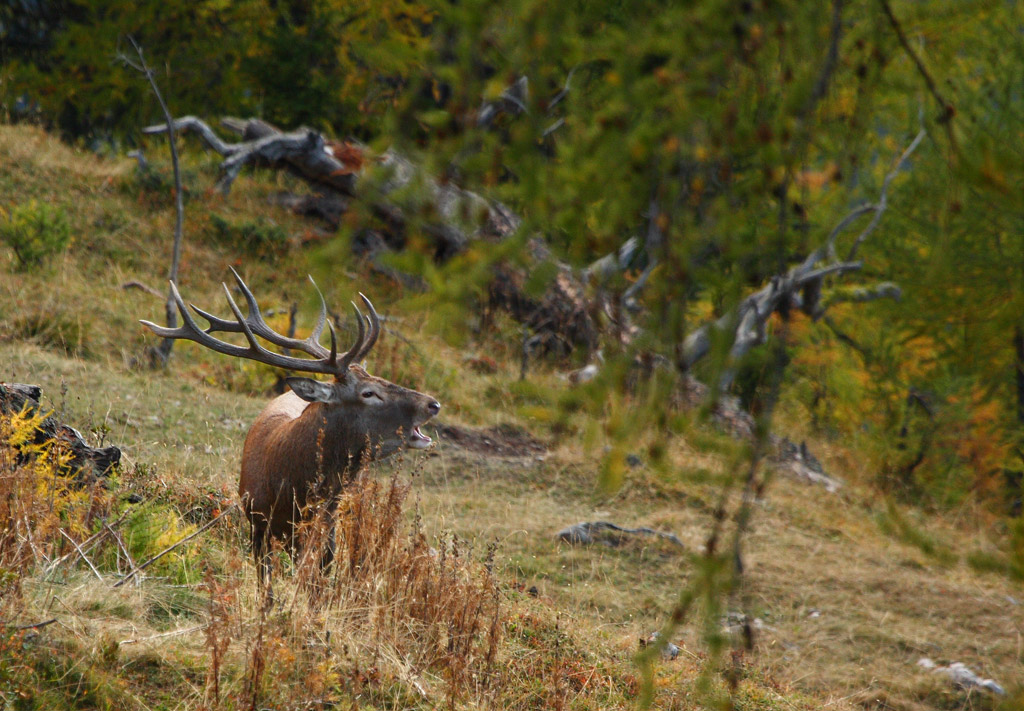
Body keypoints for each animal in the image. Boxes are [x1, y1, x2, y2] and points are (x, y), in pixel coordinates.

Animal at [141, 268, 441, 587]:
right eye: (369, 392)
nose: (432, 404)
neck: (287, 490)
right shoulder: (257, 523)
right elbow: (267, 587)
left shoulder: (323, 525)